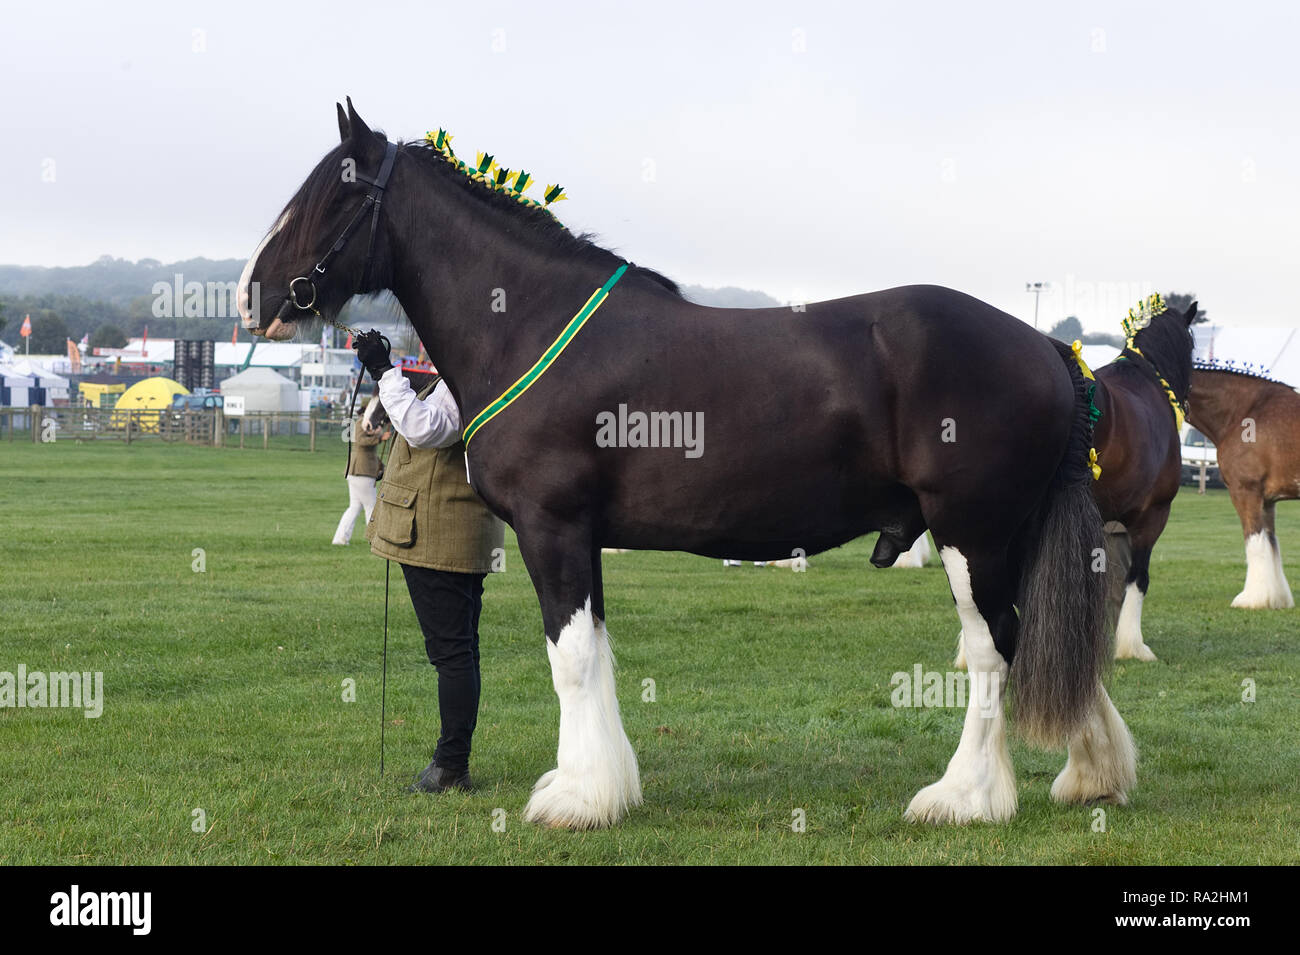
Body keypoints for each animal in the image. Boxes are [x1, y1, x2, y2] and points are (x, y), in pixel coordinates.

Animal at [236, 98, 1138, 831]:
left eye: (333, 196)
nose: (252, 295)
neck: (529, 322)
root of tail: (1047, 349)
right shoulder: (583, 537)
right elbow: (595, 652)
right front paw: (597, 784)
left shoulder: (552, 527)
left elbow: (570, 659)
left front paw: (577, 798)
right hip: (1012, 536)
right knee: (1057, 641)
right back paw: (1091, 776)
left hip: (971, 534)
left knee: (996, 649)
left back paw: (964, 797)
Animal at [1190, 361, 1300, 608]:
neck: (1243, 410)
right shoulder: (1268, 500)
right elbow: (1270, 543)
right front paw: (1276, 598)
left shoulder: (1245, 491)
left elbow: (1254, 541)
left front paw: (1252, 599)